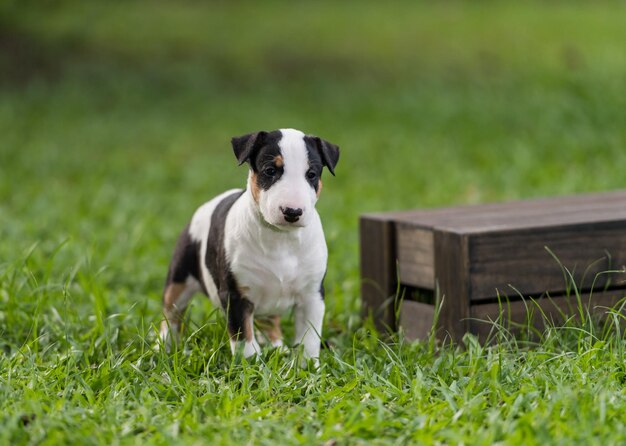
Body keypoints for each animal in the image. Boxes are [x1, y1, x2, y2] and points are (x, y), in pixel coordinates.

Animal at [158, 127, 338, 360]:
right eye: (270, 170)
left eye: (311, 174)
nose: (292, 212)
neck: (281, 238)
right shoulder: (236, 295)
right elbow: (244, 336)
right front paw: (251, 364)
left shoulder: (312, 294)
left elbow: (309, 339)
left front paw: (306, 365)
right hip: (179, 278)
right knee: (171, 315)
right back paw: (162, 348)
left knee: (270, 322)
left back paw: (277, 347)